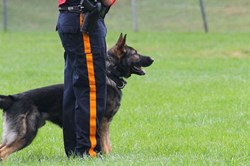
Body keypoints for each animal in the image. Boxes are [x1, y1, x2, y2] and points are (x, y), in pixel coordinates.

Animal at [0, 33, 153, 160]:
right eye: (135, 53)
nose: (152, 58)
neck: (110, 75)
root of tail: (13, 98)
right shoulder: (103, 121)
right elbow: (105, 144)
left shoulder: (106, 122)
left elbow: (108, 143)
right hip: (26, 134)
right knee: (4, 152)